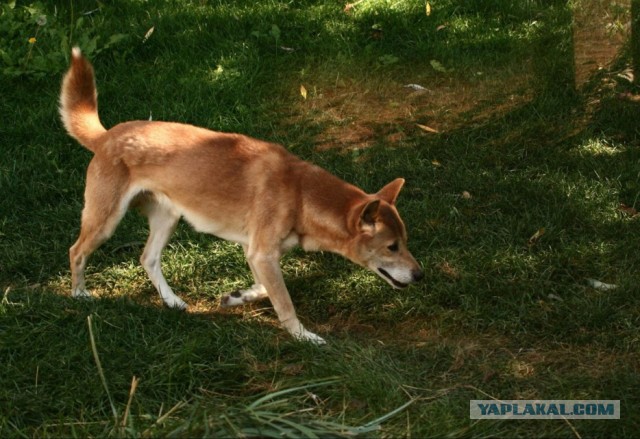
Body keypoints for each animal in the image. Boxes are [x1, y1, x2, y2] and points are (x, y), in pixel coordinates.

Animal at [58, 47, 420, 344]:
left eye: (405, 240)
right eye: (392, 246)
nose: (420, 274)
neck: (300, 194)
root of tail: (107, 136)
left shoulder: (256, 251)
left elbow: (263, 289)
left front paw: (235, 297)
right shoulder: (262, 253)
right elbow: (284, 303)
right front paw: (304, 337)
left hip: (167, 218)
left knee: (148, 258)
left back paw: (172, 301)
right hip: (105, 219)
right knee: (77, 251)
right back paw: (80, 295)